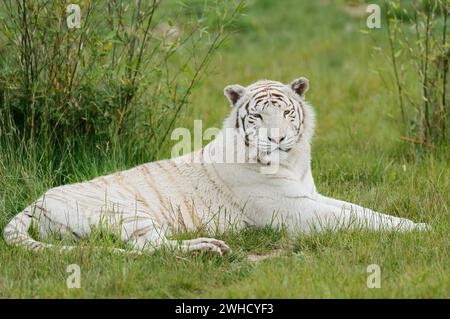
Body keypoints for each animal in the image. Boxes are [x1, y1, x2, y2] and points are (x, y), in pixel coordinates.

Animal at [2, 77, 428, 255]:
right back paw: (207, 248)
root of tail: (33, 202)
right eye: (257, 116)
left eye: (286, 112)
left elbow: (362, 210)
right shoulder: (295, 211)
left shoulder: (311, 195)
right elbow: (359, 219)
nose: (277, 139)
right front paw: (420, 230)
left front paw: (414, 223)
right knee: (147, 247)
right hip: (127, 212)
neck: (291, 164)